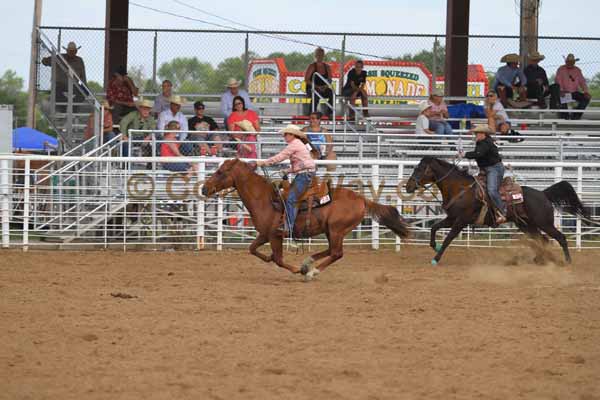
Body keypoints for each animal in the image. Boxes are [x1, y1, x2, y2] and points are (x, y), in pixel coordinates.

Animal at [199, 159, 410, 278]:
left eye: (220, 172)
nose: (203, 188)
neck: (264, 198)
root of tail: (362, 199)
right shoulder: (265, 234)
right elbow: (252, 249)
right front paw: (268, 257)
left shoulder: (275, 236)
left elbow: (279, 259)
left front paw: (294, 269)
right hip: (331, 231)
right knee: (331, 251)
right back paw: (308, 263)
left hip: (336, 230)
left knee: (336, 253)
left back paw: (311, 271)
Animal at [404, 156, 592, 266]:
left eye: (419, 169)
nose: (408, 187)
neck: (460, 189)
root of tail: (544, 194)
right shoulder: (451, 218)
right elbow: (434, 227)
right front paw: (433, 246)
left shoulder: (461, 221)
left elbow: (448, 238)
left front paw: (436, 258)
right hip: (526, 224)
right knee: (542, 240)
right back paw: (539, 260)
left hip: (544, 222)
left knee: (559, 237)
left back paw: (567, 262)